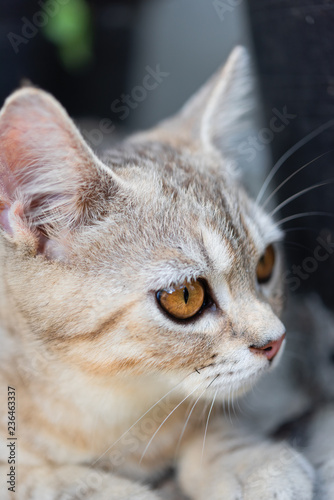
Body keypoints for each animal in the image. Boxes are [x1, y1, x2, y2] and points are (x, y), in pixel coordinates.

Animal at [0, 47, 316, 500]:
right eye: (185, 296)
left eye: (266, 263)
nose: (276, 342)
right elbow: (53, 480)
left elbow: (212, 416)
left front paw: (246, 460)